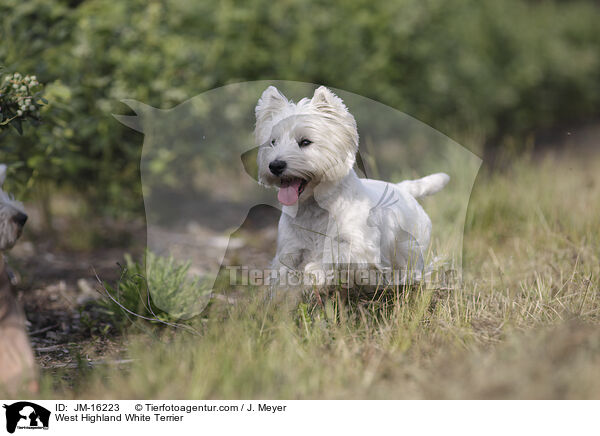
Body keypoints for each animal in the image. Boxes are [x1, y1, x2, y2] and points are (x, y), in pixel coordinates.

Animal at [255, 86, 448, 288]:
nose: (275, 165)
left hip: (411, 245)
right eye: (273, 142)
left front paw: (314, 271)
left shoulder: (361, 248)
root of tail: (402, 188)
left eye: (305, 142)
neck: (314, 208)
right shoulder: (290, 250)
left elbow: (333, 255)